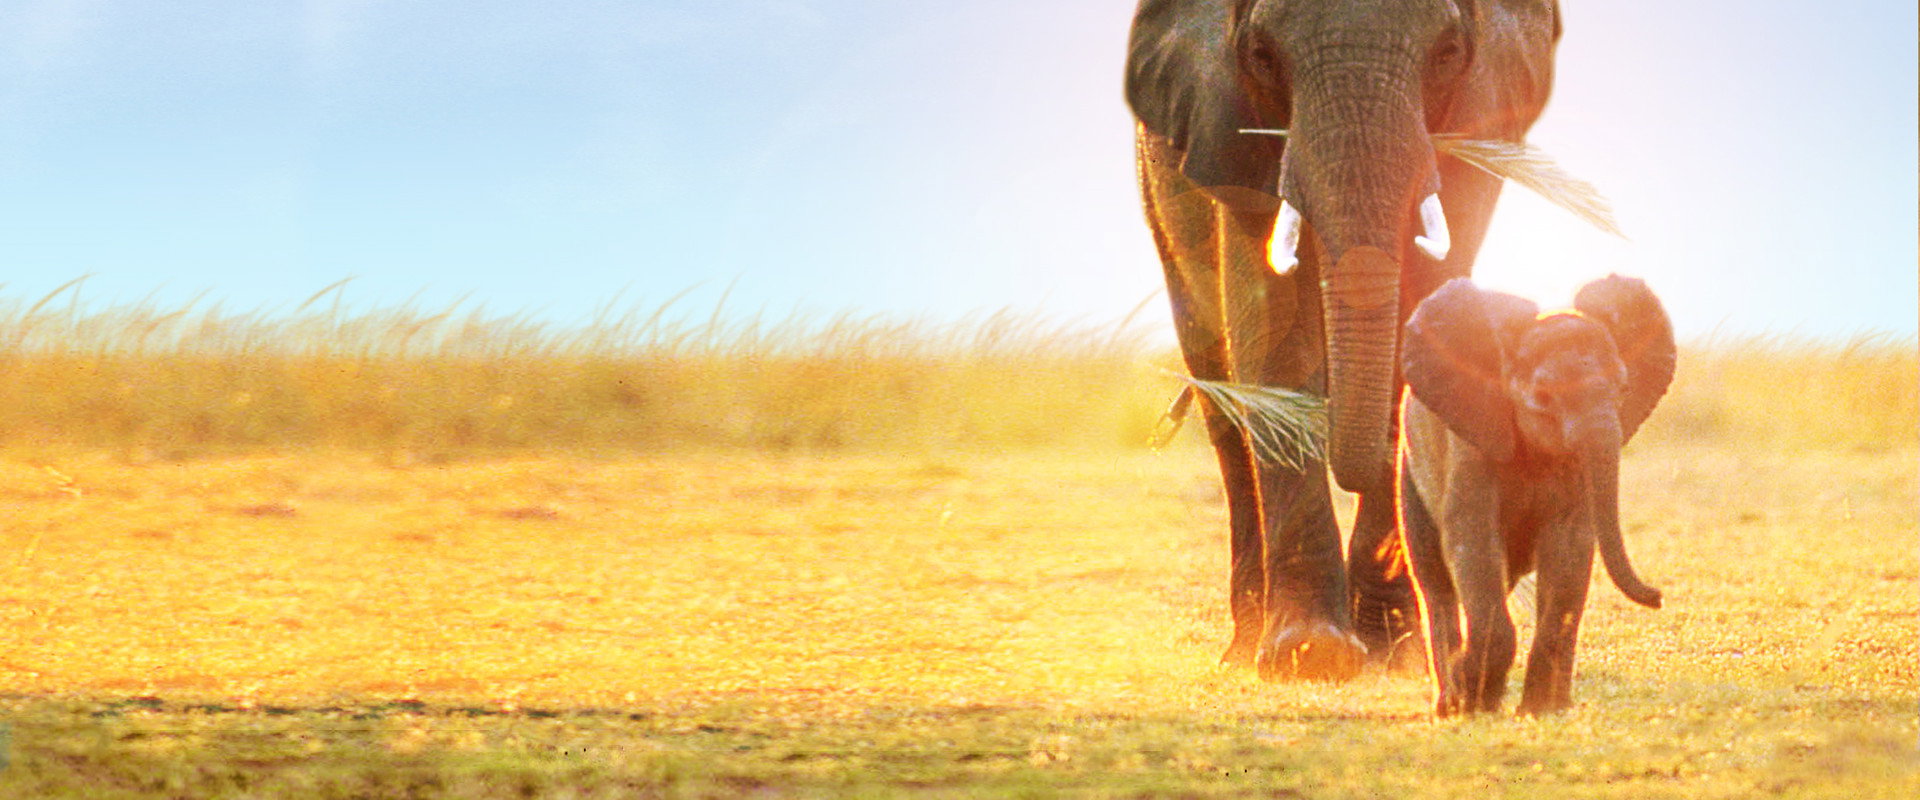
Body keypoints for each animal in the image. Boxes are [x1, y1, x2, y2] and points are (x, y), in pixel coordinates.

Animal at [1125, 0, 1563, 678]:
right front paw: (1311, 655)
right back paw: (1245, 648)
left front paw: (1399, 656)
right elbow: (1272, 330)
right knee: (1222, 408)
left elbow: (1425, 317)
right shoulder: (1234, 132)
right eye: (1261, 55)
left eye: (1447, 52)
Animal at [1397, 274, 1675, 715]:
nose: (1659, 596)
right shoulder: (1470, 442)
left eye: (1624, 388)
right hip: (1408, 470)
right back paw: (1451, 704)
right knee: (1435, 580)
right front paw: (1477, 704)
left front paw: (1543, 711)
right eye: (1543, 398)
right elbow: (1471, 536)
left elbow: (1570, 545)